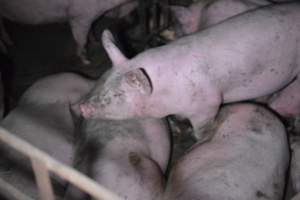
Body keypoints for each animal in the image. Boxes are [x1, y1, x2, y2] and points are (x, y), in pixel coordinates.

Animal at [0, 0, 136, 64]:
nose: (131, 22)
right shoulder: (78, 17)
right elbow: (81, 40)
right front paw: (86, 61)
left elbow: (91, 30)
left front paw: (96, 42)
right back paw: (6, 52)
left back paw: (11, 44)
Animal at [77, 1, 300, 142]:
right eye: (103, 80)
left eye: (118, 94)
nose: (83, 107)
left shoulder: (208, 103)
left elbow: (201, 128)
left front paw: (201, 138)